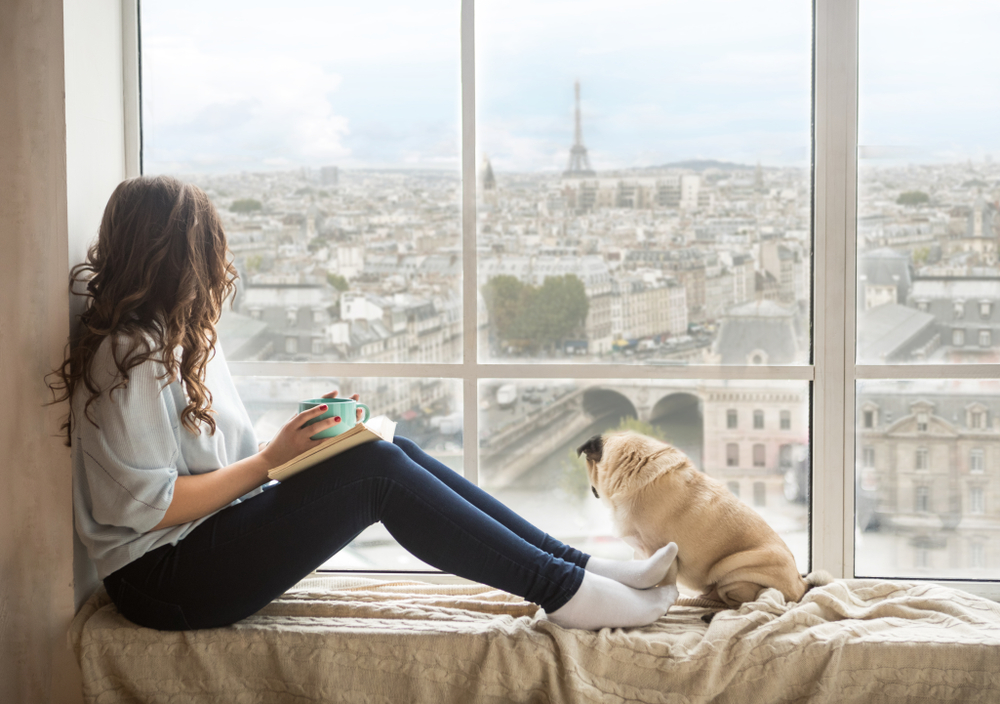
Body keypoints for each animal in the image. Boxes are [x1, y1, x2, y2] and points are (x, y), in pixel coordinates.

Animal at [580, 432, 828, 608]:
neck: (634, 462)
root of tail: (800, 585)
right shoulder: (641, 553)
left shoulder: (658, 551)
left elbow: (662, 582)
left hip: (732, 572)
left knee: (747, 599)